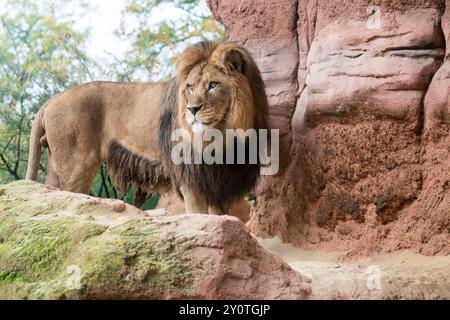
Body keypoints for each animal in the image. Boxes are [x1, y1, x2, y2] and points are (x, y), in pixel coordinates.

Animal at [25, 40, 268, 215]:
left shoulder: (219, 180)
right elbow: (200, 216)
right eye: (190, 87)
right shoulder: (191, 176)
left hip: (56, 164)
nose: (192, 109)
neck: (224, 132)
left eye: (213, 85)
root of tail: (53, 99)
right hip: (77, 165)